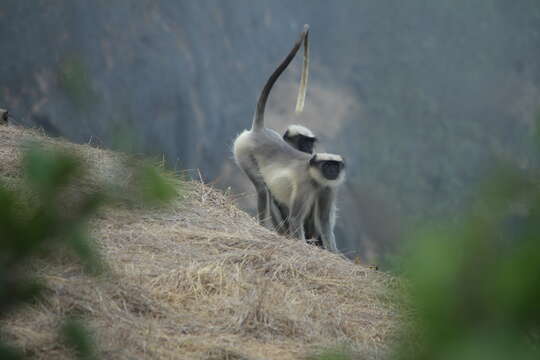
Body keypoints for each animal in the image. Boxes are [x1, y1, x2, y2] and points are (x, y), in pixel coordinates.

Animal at [233, 25, 346, 252]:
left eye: (335, 166)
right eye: (327, 165)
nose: (332, 171)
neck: (314, 176)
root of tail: (259, 130)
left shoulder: (328, 188)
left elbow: (324, 222)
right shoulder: (304, 184)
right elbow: (295, 219)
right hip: (243, 151)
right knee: (262, 189)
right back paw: (263, 227)